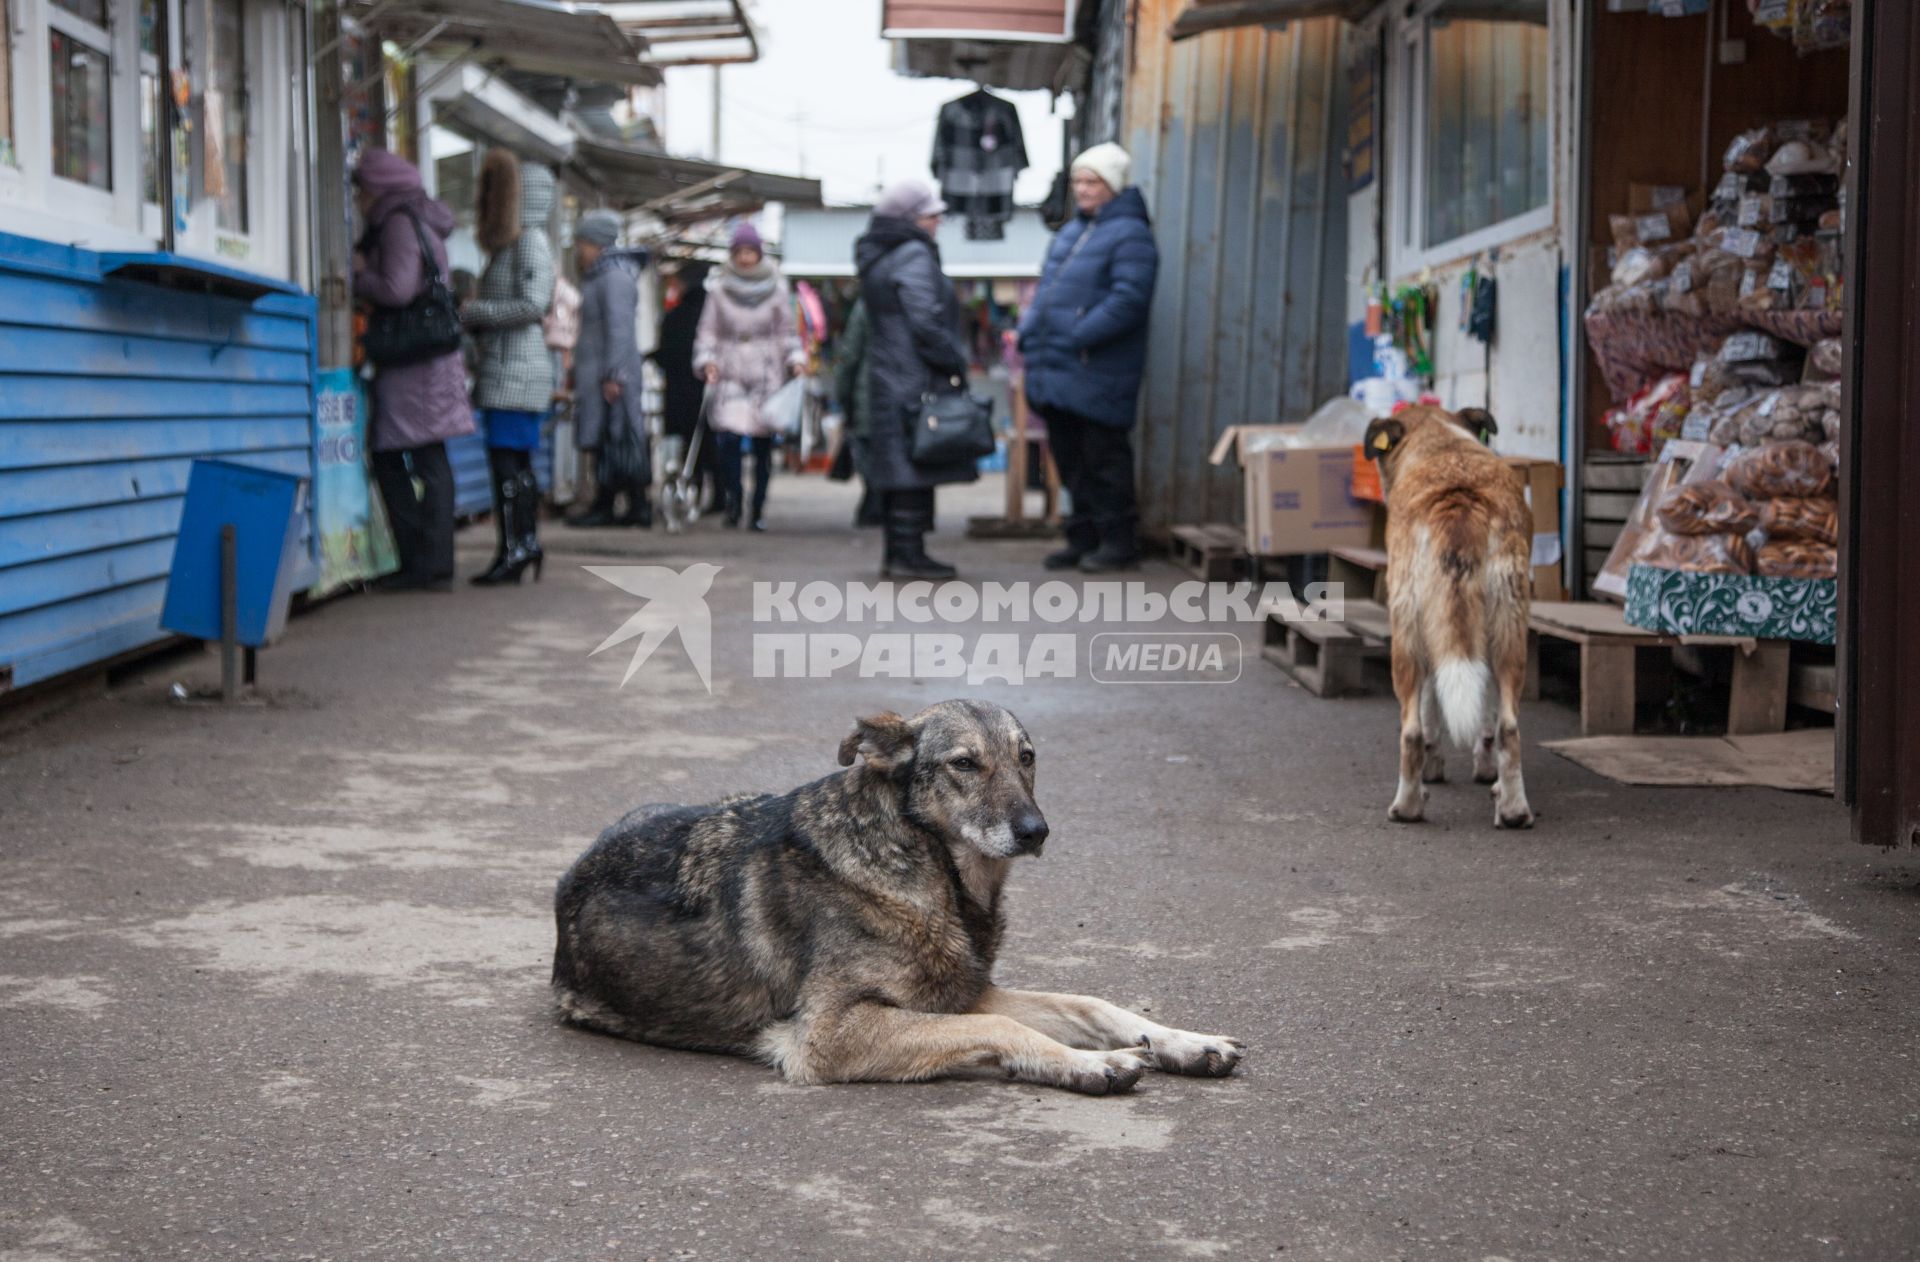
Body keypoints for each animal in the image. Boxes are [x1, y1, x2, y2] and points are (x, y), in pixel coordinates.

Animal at [556, 699, 1244, 1091]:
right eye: (965, 764)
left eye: (1026, 757)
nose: (1036, 832)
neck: (929, 870)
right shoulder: (830, 1036)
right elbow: (1004, 1025)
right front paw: (1089, 1065)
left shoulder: (961, 994)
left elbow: (1089, 1004)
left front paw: (1184, 1042)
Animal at [1359, 403, 1536, 833]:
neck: (1441, 441)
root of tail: (1460, 503)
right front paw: (1483, 769)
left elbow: (1431, 710)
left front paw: (1436, 765)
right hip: (1509, 631)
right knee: (1507, 726)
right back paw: (1513, 809)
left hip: (1407, 635)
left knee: (1411, 729)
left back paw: (1408, 806)